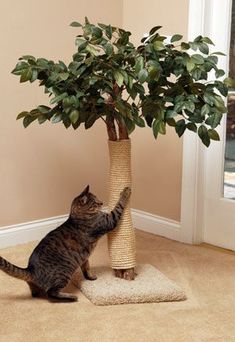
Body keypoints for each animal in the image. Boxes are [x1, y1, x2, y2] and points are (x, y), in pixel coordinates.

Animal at [0, 184, 131, 302]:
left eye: (97, 199)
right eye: (95, 202)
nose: (102, 203)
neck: (77, 216)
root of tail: (30, 269)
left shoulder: (84, 258)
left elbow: (86, 268)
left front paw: (90, 277)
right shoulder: (109, 221)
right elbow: (119, 206)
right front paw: (126, 191)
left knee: (34, 290)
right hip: (63, 274)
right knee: (51, 293)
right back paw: (71, 297)